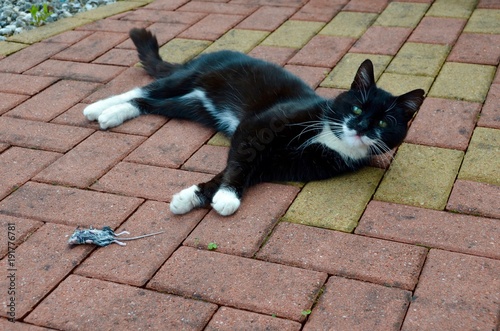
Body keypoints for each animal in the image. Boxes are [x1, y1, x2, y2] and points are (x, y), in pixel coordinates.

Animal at [84, 28, 424, 218]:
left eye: (383, 123)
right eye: (355, 108)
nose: (361, 127)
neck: (329, 137)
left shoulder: (285, 165)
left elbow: (233, 171)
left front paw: (193, 198)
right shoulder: (256, 128)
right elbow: (240, 162)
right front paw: (226, 196)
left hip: (193, 106)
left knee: (150, 104)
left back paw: (113, 114)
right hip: (190, 78)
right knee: (145, 89)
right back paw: (97, 107)